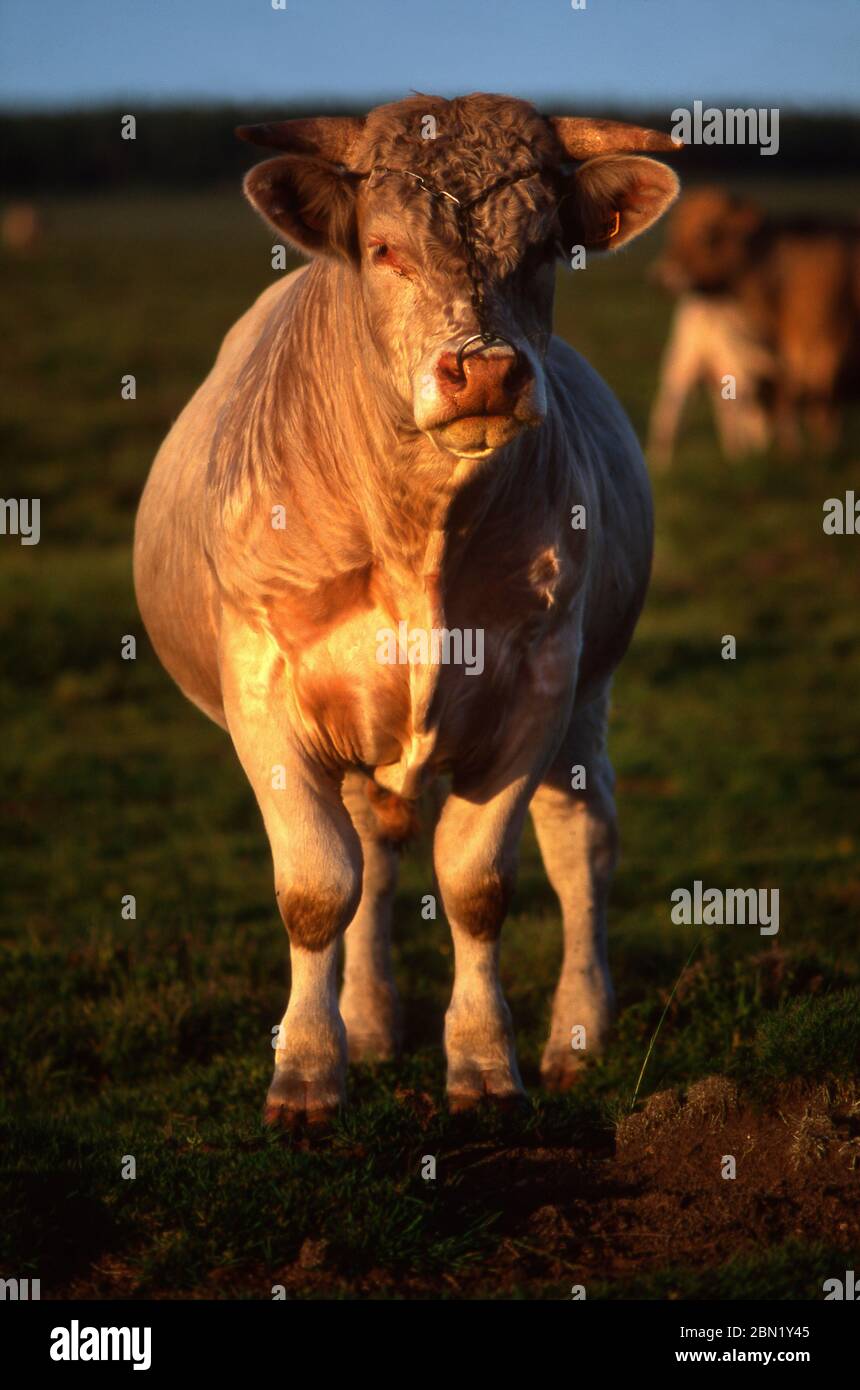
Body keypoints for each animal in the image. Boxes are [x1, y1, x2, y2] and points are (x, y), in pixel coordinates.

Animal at [134, 94, 680, 1127]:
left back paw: (576, 1031)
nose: (488, 373)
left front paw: (484, 1066)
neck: (417, 528)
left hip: (591, 695)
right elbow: (319, 887)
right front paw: (310, 1072)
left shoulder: (539, 685)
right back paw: (371, 1020)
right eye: (384, 249)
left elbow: (477, 885)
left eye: (544, 249)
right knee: (372, 856)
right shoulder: (266, 693)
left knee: (582, 845)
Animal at [650, 187, 860, 462]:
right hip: (686, 362)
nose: (660, 277)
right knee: (676, 405)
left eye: (707, 233)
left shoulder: (822, 350)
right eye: (673, 230)